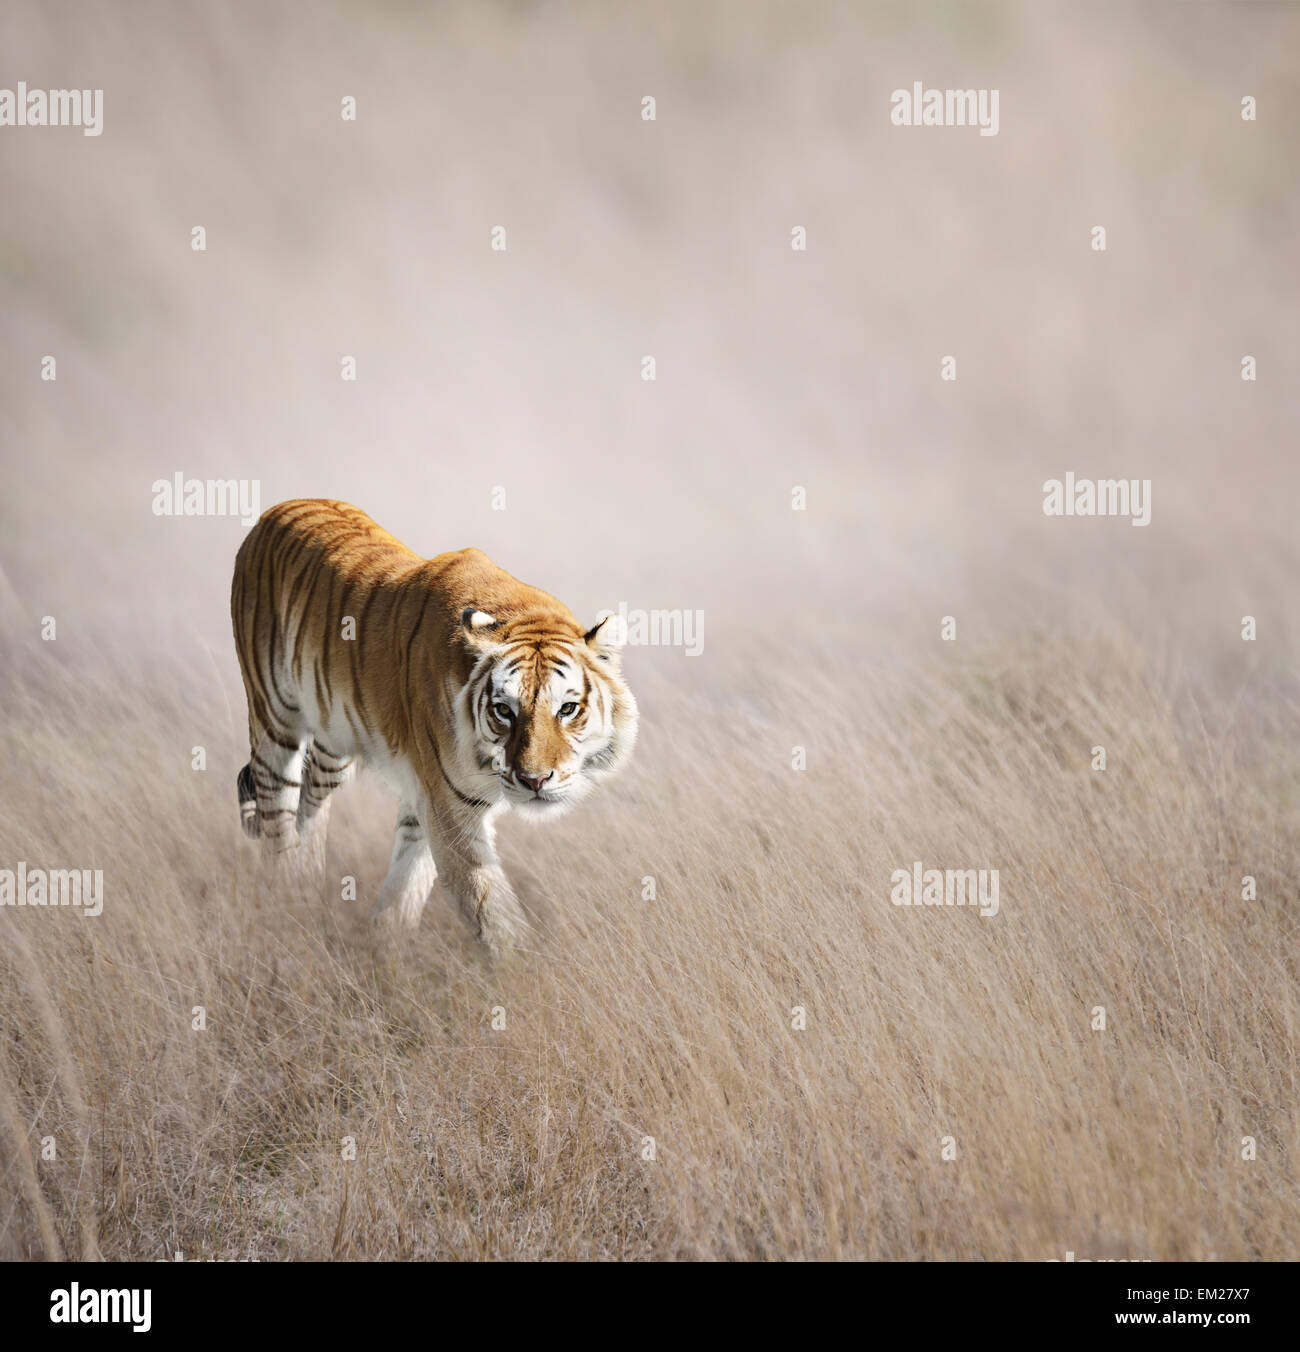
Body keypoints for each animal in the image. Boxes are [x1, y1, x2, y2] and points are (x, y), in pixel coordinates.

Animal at [232, 497, 637, 951]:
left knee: (312, 805)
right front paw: (525, 968)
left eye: (567, 709)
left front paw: (386, 943)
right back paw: (287, 903)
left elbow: (408, 883)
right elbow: (494, 914)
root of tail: (277, 509)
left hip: (333, 741)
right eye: (504, 711)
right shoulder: (449, 807)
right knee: (278, 817)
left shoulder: (430, 798)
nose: (534, 780)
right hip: (274, 723)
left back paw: (308, 886)